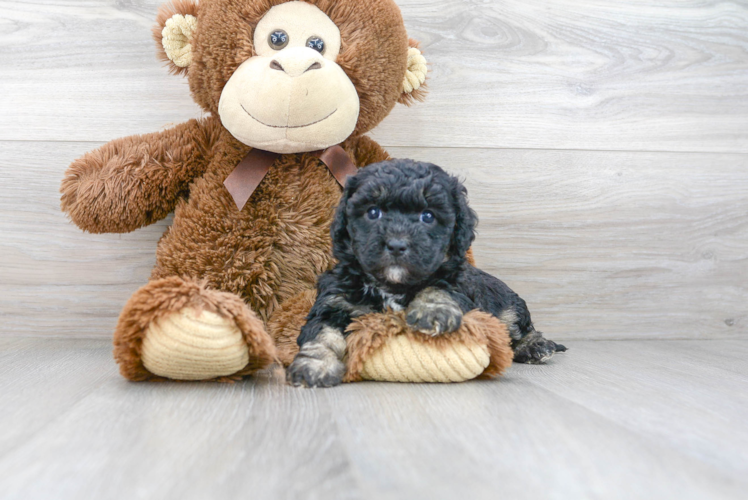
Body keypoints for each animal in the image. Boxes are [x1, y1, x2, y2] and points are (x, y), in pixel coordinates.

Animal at [288, 160, 568, 386]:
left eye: (428, 216)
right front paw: (314, 365)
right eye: (373, 212)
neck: (393, 286)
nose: (397, 244)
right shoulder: (334, 302)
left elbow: (438, 286)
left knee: (517, 326)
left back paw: (536, 346)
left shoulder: (460, 287)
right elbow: (322, 333)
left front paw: (433, 311)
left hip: (507, 303)